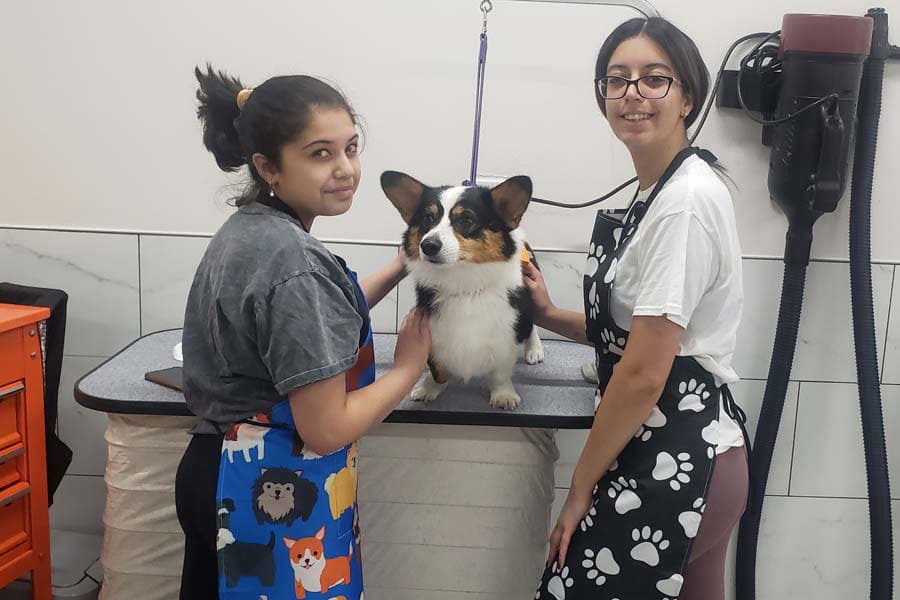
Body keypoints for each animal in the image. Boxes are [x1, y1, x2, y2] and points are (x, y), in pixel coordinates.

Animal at [378, 171, 540, 410]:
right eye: (428, 219)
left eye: (466, 220)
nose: (428, 245)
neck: (463, 283)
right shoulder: (433, 329)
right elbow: (437, 366)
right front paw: (430, 387)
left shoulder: (507, 332)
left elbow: (500, 371)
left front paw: (503, 395)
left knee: (532, 326)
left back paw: (534, 349)